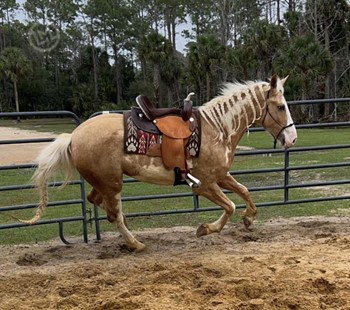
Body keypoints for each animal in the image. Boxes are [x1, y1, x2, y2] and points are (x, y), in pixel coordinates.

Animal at [21, 75, 296, 252]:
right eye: (281, 106)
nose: (292, 138)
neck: (218, 128)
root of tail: (74, 136)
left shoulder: (220, 176)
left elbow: (245, 192)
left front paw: (249, 219)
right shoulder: (204, 184)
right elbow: (229, 206)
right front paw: (206, 229)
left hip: (104, 183)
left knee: (98, 203)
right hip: (112, 183)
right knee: (113, 214)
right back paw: (136, 244)